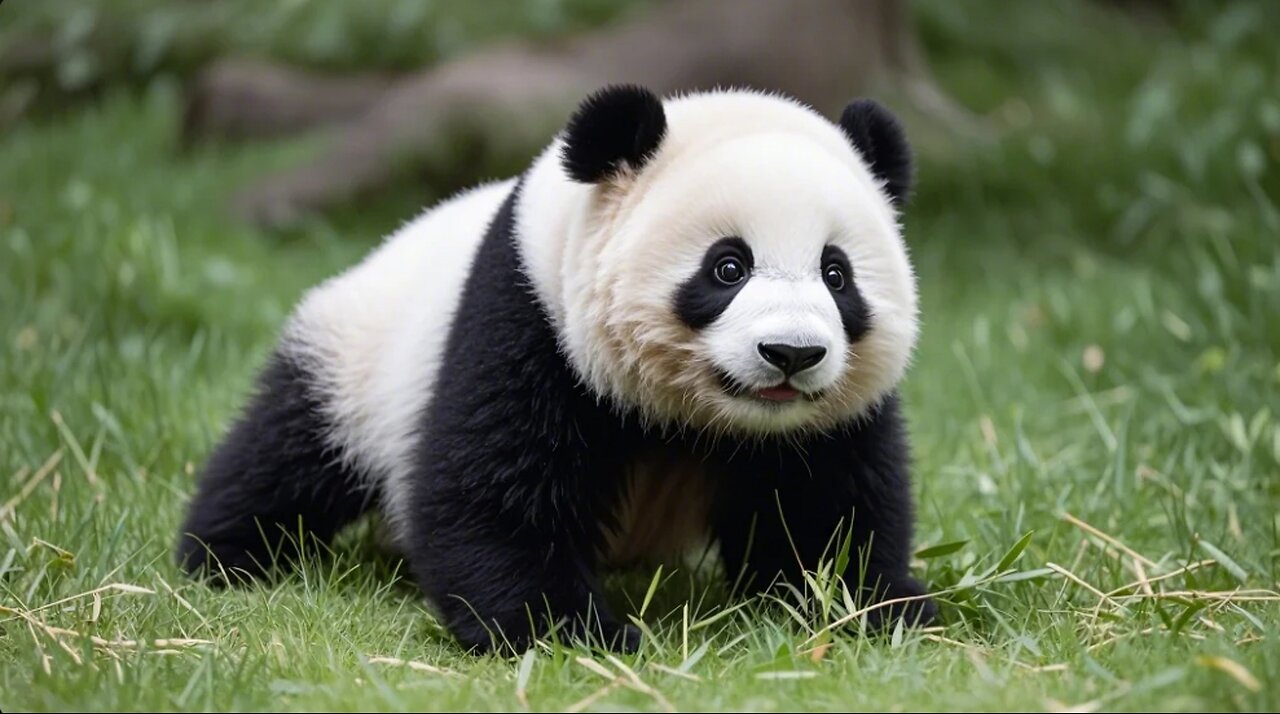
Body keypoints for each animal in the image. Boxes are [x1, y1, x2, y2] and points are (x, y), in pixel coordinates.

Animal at [175, 83, 936, 655]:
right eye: (727, 266)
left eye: (837, 275)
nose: (792, 354)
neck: (695, 416)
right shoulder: (531, 318)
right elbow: (491, 491)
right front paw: (575, 634)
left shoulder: (826, 423)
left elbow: (827, 510)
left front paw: (886, 610)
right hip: (359, 351)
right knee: (287, 453)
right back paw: (225, 556)